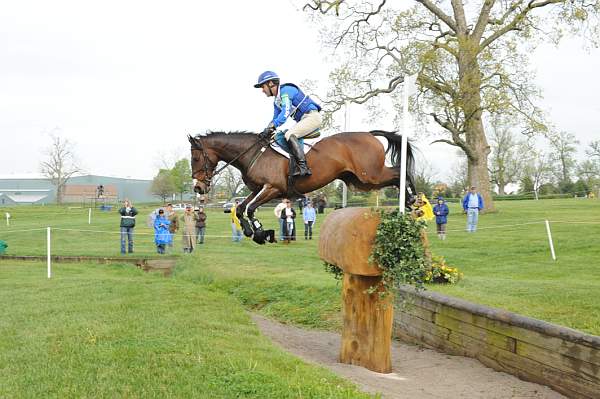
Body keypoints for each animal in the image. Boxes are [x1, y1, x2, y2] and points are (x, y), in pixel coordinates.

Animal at [190, 131, 414, 244]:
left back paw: (412, 199)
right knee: (395, 174)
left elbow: (251, 209)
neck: (253, 155)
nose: (198, 188)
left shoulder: (273, 188)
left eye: (195, 159)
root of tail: (369, 134)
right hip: (358, 180)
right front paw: (248, 231)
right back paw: (410, 201)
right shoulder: (257, 189)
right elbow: (240, 208)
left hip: (369, 176)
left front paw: (260, 233)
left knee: (398, 172)